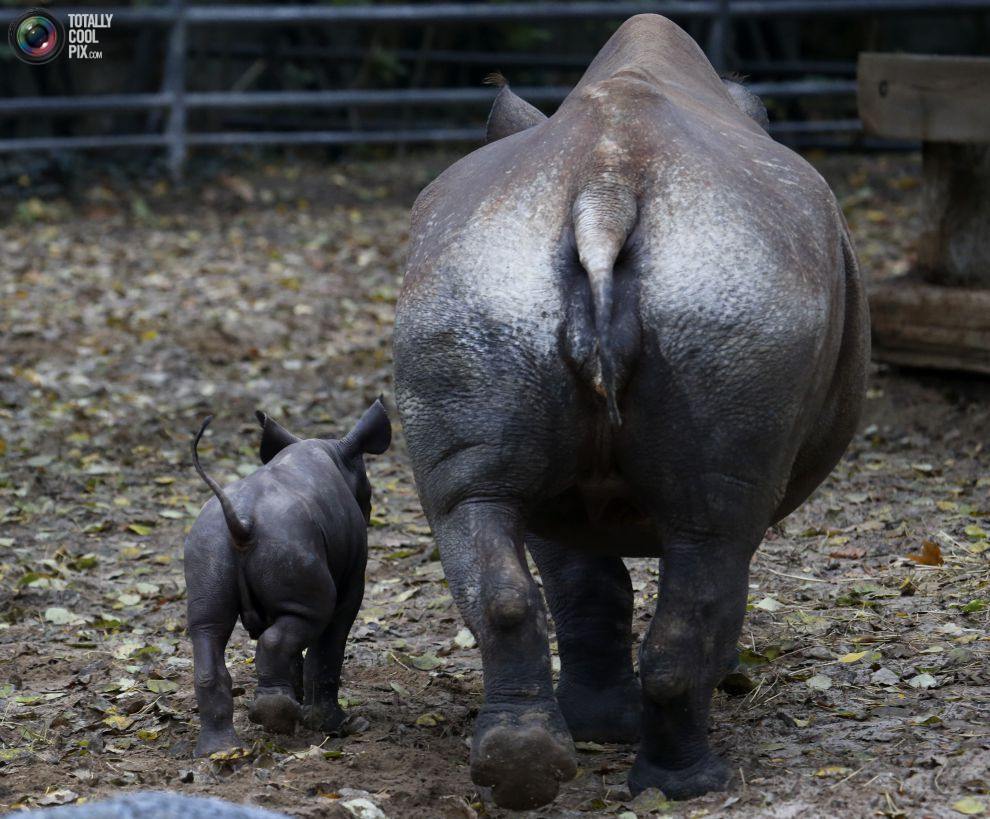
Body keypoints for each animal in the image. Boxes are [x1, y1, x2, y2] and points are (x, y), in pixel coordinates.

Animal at [185, 398, 392, 756]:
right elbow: (327, 651)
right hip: (286, 543)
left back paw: (220, 751)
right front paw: (333, 726)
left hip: (209, 543)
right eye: (368, 494)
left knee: (207, 628)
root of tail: (242, 524)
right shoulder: (351, 582)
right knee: (310, 621)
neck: (335, 455)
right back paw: (277, 719)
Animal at [394, 14, 868, 812]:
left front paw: (596, 730)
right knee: (710, 543)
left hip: (476, 273)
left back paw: (522, 766)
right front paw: (716, 684)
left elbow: (583, 580)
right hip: (735, 282)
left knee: (474, 509)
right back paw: (692, 783)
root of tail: (603, 188)